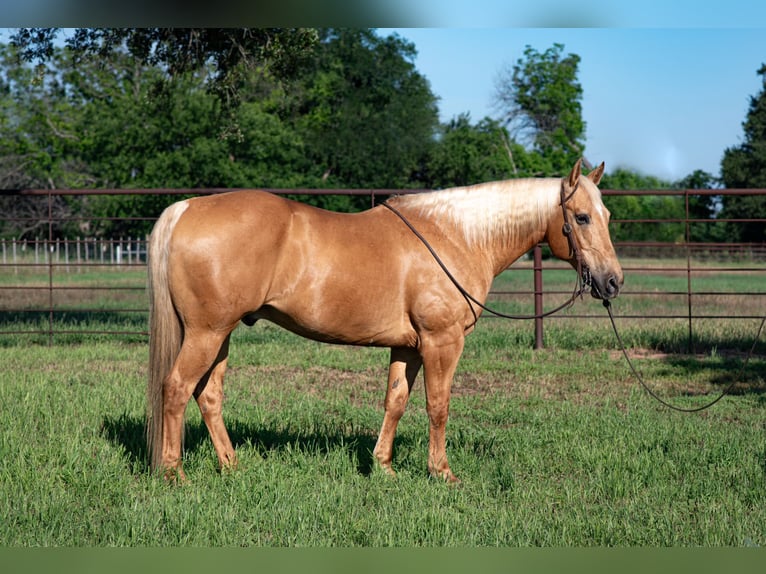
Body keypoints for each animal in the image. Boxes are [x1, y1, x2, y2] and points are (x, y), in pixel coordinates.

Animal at [146, 160, 624, 484]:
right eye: (582, 217)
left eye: (606, 217)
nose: (613, 281)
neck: (455, 235)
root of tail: (186, 208)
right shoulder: (441, 342)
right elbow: (438, 405)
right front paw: (441, 472)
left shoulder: (408, 346)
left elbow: (395, 401)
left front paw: (384, 467)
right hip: (207, 334)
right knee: (177, 389)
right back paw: (174, 474)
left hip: (220, 334)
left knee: (208, 396)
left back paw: (232, 467)